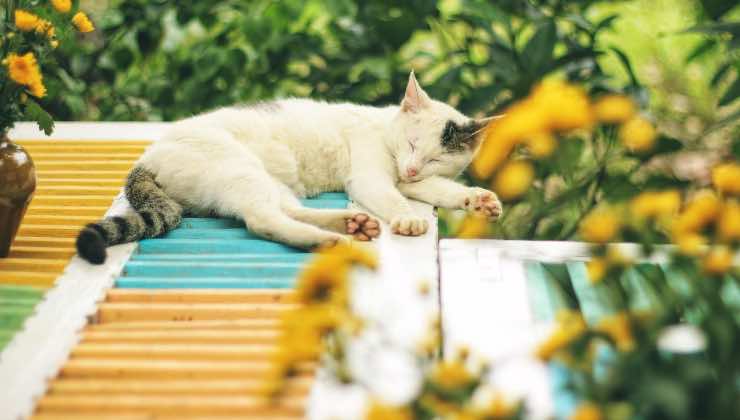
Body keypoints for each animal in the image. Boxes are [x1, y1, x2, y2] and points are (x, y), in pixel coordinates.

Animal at [75, 71, 502, 264]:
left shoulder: (418, 182)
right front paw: (408, 219)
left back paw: (348, 225)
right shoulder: (371, 177)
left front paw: (478, 200)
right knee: (261, 220)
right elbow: (392, 197)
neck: (385, 131)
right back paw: (326, 240)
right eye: (412, 144)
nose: (412, 168)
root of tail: (146, 159)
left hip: (267, 182)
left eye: (435, 158)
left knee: (285, 211)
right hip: (241, 170)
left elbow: (443, 190)